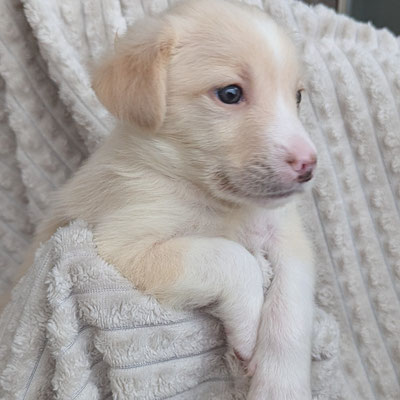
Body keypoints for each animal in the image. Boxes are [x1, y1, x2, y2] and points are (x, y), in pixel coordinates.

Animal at [31, 0, 317, 398]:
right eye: (230, 94)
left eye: (298, 97)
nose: (308, 165)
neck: (221, 204)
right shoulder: (122, 245)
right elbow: (233, 257)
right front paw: (247, 329)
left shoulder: (288, 237)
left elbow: (291, 307)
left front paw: (281, 384)